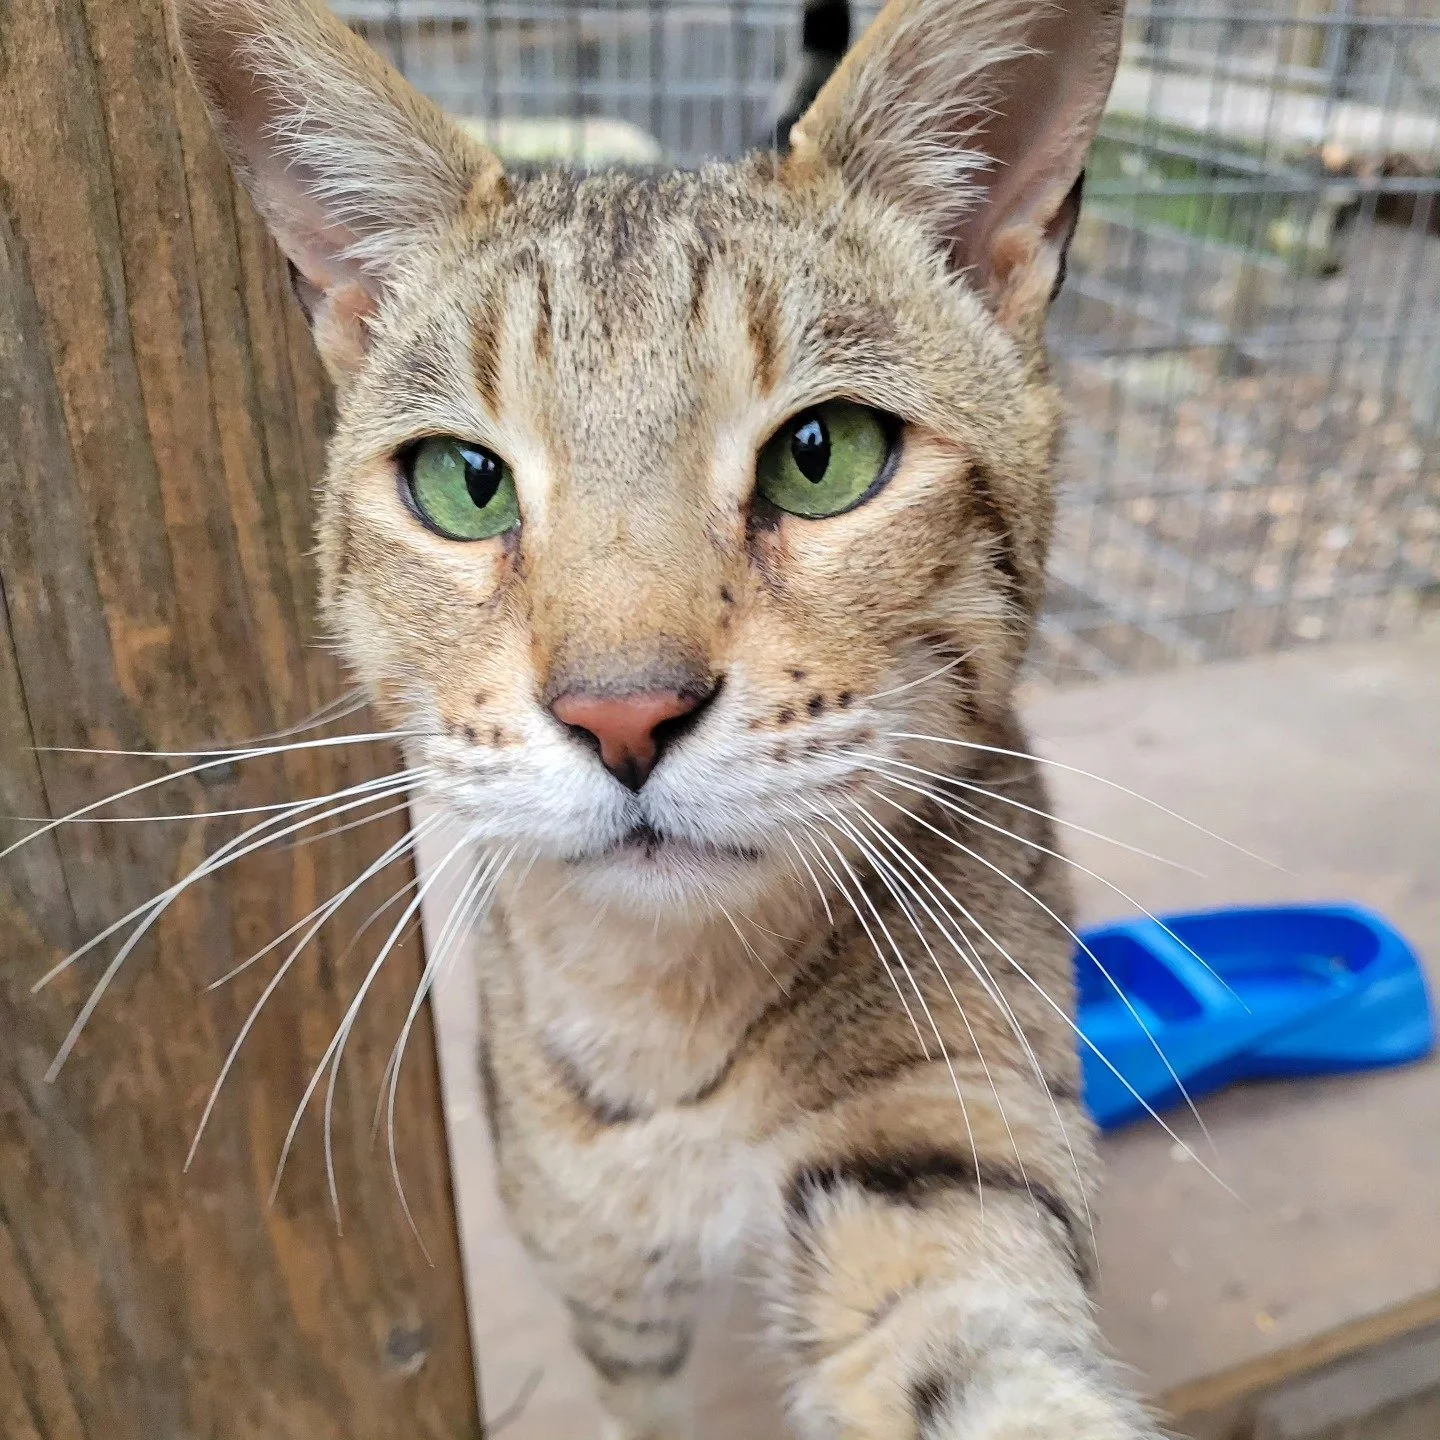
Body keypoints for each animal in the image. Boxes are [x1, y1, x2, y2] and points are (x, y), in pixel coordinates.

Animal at [173, 0, 1155, 1436]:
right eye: (463, 482)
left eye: (825, 455)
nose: (623, 712)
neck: (669, 1010)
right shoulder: (605, 1279)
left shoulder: (945, 1134)